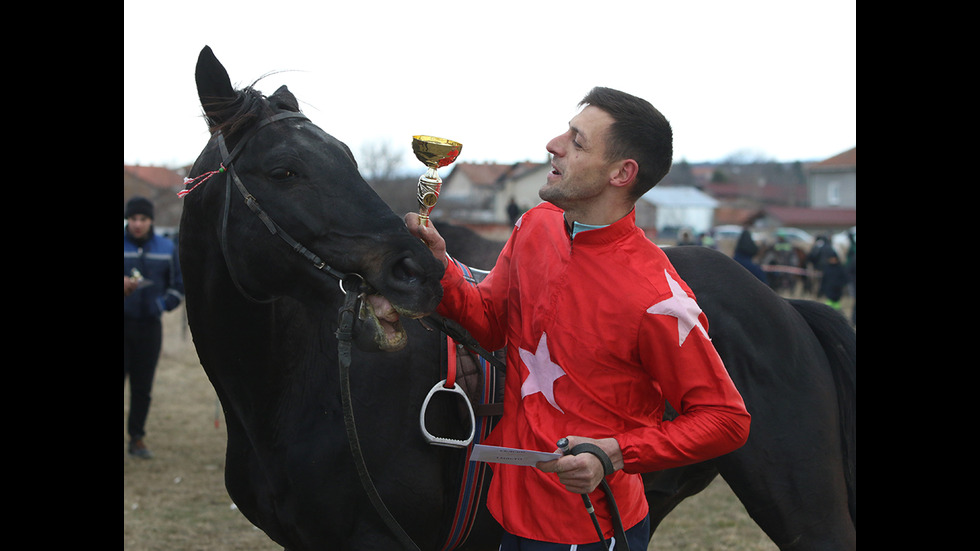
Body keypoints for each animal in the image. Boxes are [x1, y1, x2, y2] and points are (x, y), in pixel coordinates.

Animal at [180, 48, 852, 551]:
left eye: (344, 157)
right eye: (284, 170)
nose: (417, 267)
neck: (300, 387)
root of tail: (781, 306)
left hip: (807, 511)